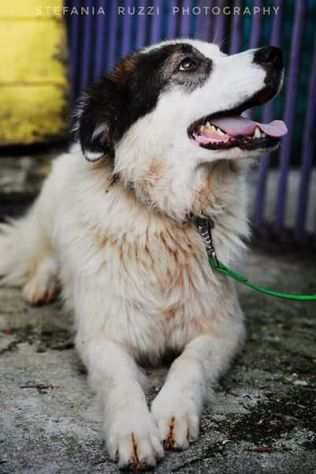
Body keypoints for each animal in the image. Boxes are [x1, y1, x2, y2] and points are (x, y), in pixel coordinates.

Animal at [0, 40, 286, 470]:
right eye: (187, 64)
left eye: (221, 52)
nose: (275, 53)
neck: (166, 216)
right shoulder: (100, 337)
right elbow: (120, 381)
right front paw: (134, 430)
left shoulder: (224, 328)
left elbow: (189, 363)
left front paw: (172, 412)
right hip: (50, 205)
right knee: (47, 253)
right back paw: (42, 286)